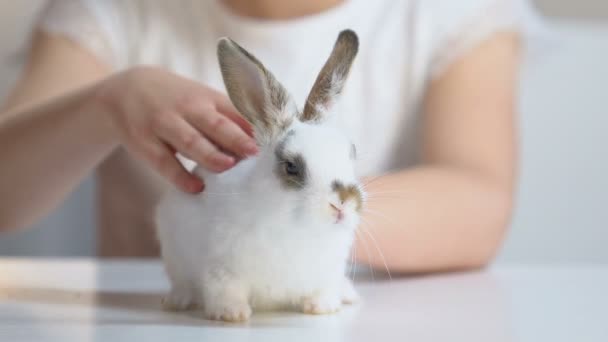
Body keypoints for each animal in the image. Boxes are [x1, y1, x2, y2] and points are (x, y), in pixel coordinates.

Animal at [157, 30, 364, 322]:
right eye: (291, 166)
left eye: (351, 151)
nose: (343, 202)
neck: (298, 227)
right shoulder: (221, 270)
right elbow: (225, 291)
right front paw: (232, 315)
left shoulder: (327, 273)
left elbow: (322, 290)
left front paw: (322, 307)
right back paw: (177, 301)